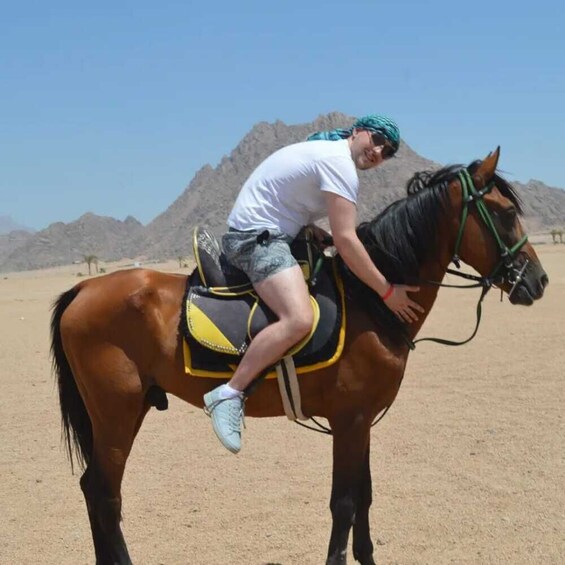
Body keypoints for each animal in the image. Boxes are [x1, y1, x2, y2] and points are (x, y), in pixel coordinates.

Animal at [49, 149, 548, 564]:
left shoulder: (362, 420)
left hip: (123, 412)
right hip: (116, 413)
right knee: (105, 494)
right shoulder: (349, 420)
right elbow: (343, 503)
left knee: (92, 488)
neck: (371, 298)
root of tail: (83, 289)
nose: (538, 281)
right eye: (506, 214)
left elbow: (364, 497)